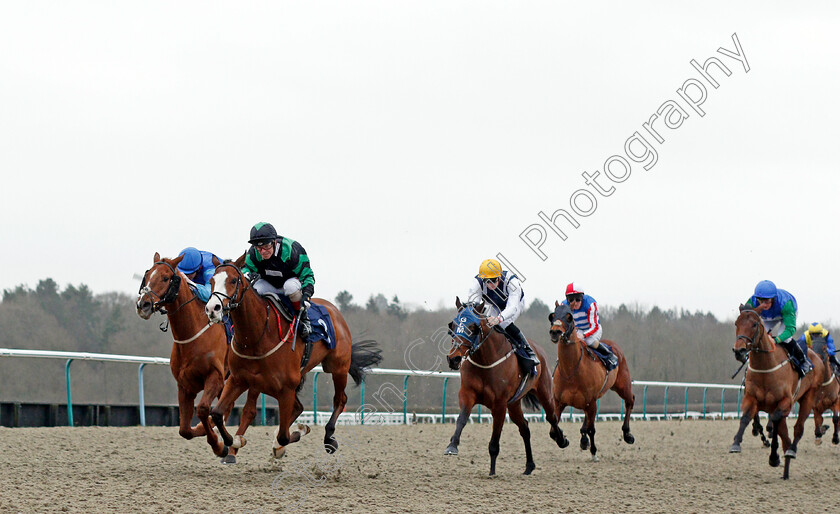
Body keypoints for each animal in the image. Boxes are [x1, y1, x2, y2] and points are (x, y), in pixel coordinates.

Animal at [138, 252, 230, 456]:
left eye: (166, 278)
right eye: (147, 276)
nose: (143, 305)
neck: (192, 334)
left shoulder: (216, 377)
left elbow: (203, 409)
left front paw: (218, 445)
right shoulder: (184, 385)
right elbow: (185, 430)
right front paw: (207, 432)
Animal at [204, 260, 380, 456]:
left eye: (234, 280)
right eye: (211, 280)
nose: (212, 309)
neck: (258, 337)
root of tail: (334, 310)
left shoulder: (286, 387)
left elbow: (284, 436)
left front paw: (291, 435)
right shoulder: (239, 379)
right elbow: (217, 413)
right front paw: (234, 440)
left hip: (338, 367)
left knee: (340, 400)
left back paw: (329, 438)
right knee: (299, 407)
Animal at [442, 296, 568, 476]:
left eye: (473, 327)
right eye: (452, 325)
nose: (454, 359)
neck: (485, 361)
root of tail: (539, 351)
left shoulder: (499, 404)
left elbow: (495, 441)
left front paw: (492, 472)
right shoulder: (467, 394)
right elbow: (462, 419)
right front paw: (452, 445)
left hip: (545, 392)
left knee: (552, 417)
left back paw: (561, 439)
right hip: (514, 404)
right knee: (525, 428)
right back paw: (529, 466)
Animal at [548, 300, 632, 460]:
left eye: (569, 317)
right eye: (552, 316)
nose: (555, 332)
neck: (571, 370)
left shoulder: (592, 402)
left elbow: (592, 429)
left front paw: (594, 452)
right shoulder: (559, 401)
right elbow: (553, 431)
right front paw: (563, 440)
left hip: (622, 385)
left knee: (630, 402)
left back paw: (627, 434)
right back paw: (583, 440)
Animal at [728, 304, 828, 476]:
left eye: (754, 324)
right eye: (736, 323)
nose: (739, 351)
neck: (765, 367)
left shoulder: (785, 402)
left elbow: (775, 423)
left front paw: (774, 457)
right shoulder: (751, 398)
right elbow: (746, 417)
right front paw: (736, 443)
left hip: (808, 398)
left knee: (798, 429)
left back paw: (791, 451)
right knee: (785, 436)